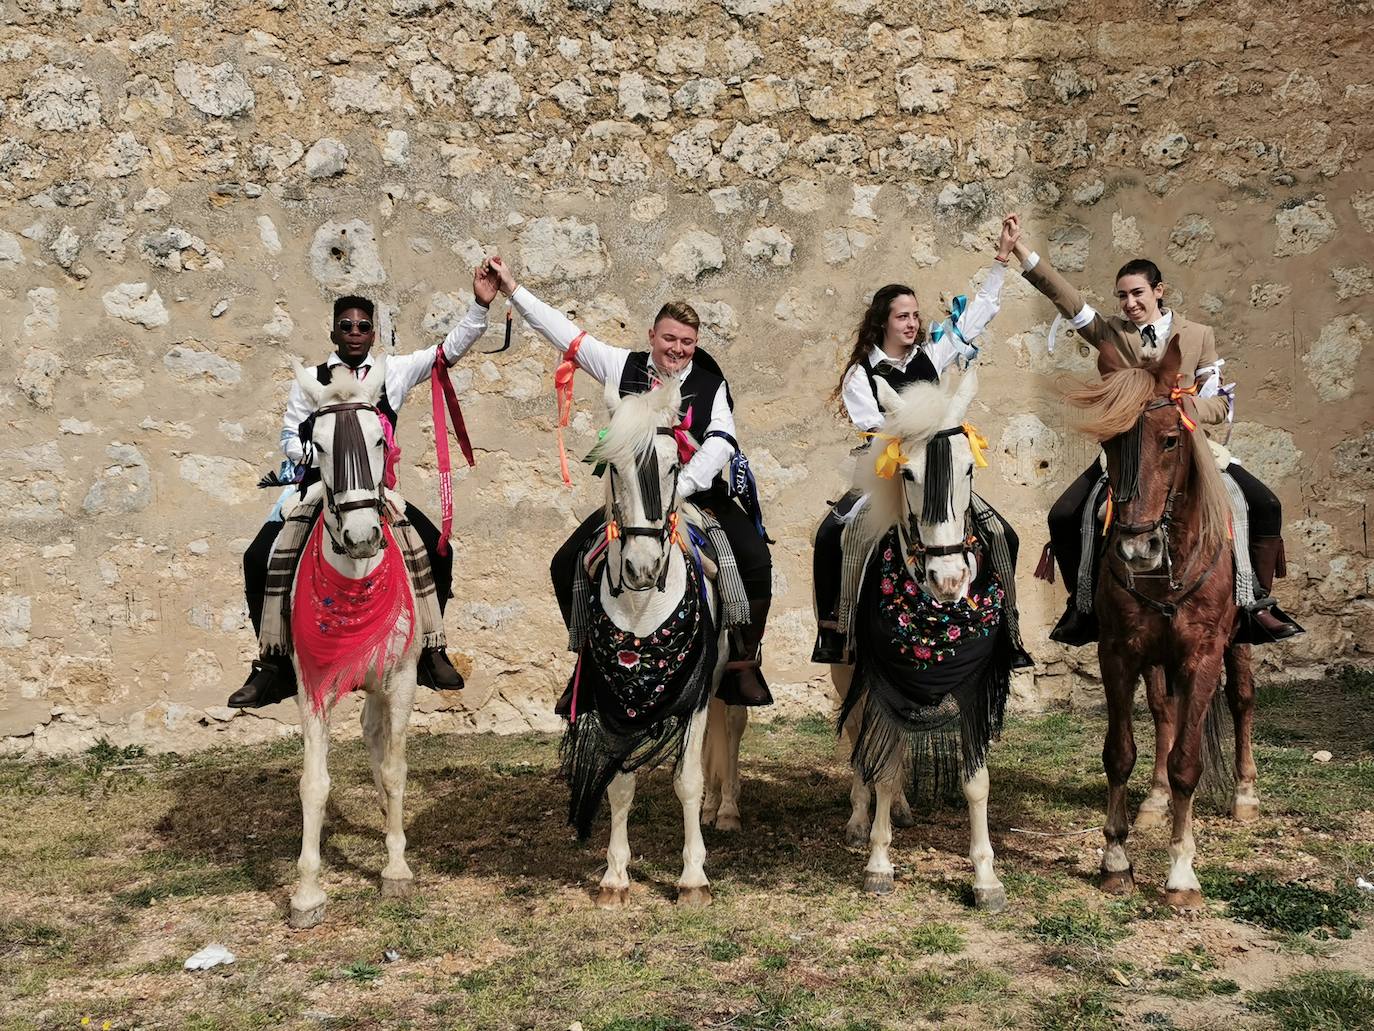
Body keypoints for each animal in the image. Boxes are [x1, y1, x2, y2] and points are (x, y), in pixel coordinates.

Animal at [568, 384, 736, 907]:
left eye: (673, 467)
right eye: (612, 467)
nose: (642, 567)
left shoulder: (696, 691)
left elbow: (688, 779)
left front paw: (693, 878)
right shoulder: (614, 701)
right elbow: (619, 783)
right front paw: (614, 878)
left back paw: (725, 809)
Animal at [824, 373, 1011, 912]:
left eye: (968, 467)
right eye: (906, 473)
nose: (948, 578)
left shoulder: (972, 686)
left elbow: (975, 780)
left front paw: (985, 878)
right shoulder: (883, 678)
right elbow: (883, 768)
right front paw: (878, 864)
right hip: (847, 669)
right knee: (861, 739)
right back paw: (860, 818)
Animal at [1060, 335, 1258, 907]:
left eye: (1171, 440)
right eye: (1110, 444)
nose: (1135, 548)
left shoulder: (1203, 654)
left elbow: (1188, 762)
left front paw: (1181, 873)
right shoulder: (1119, 652)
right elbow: (1120, 752)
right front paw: (1115, 861)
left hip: (1238, 643)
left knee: (1242, 699)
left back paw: (1245, 794)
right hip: (1154, 656)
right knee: (1163, 713)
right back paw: (1153, 799)